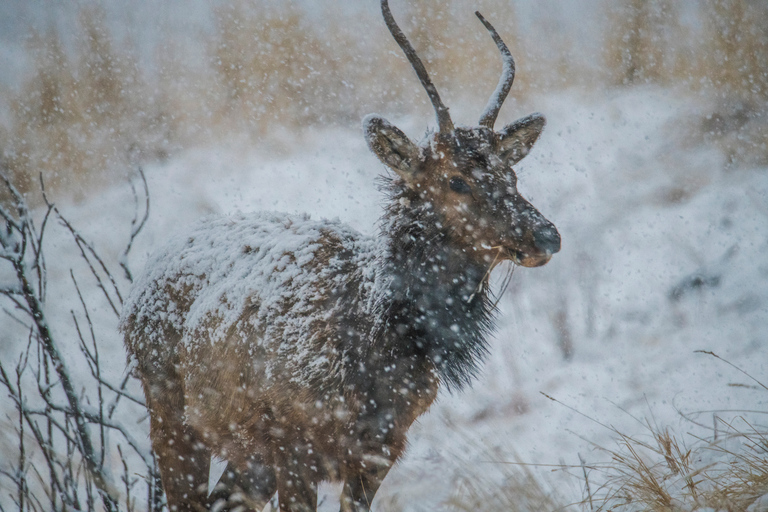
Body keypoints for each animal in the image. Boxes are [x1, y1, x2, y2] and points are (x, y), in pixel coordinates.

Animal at [123, 2, 560, 510]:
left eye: (512, 174)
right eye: (456, 180)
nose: (547, 236)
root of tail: (140, 286)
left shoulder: (380, 448)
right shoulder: (292, 440)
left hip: (246, 454)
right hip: (170, 412)